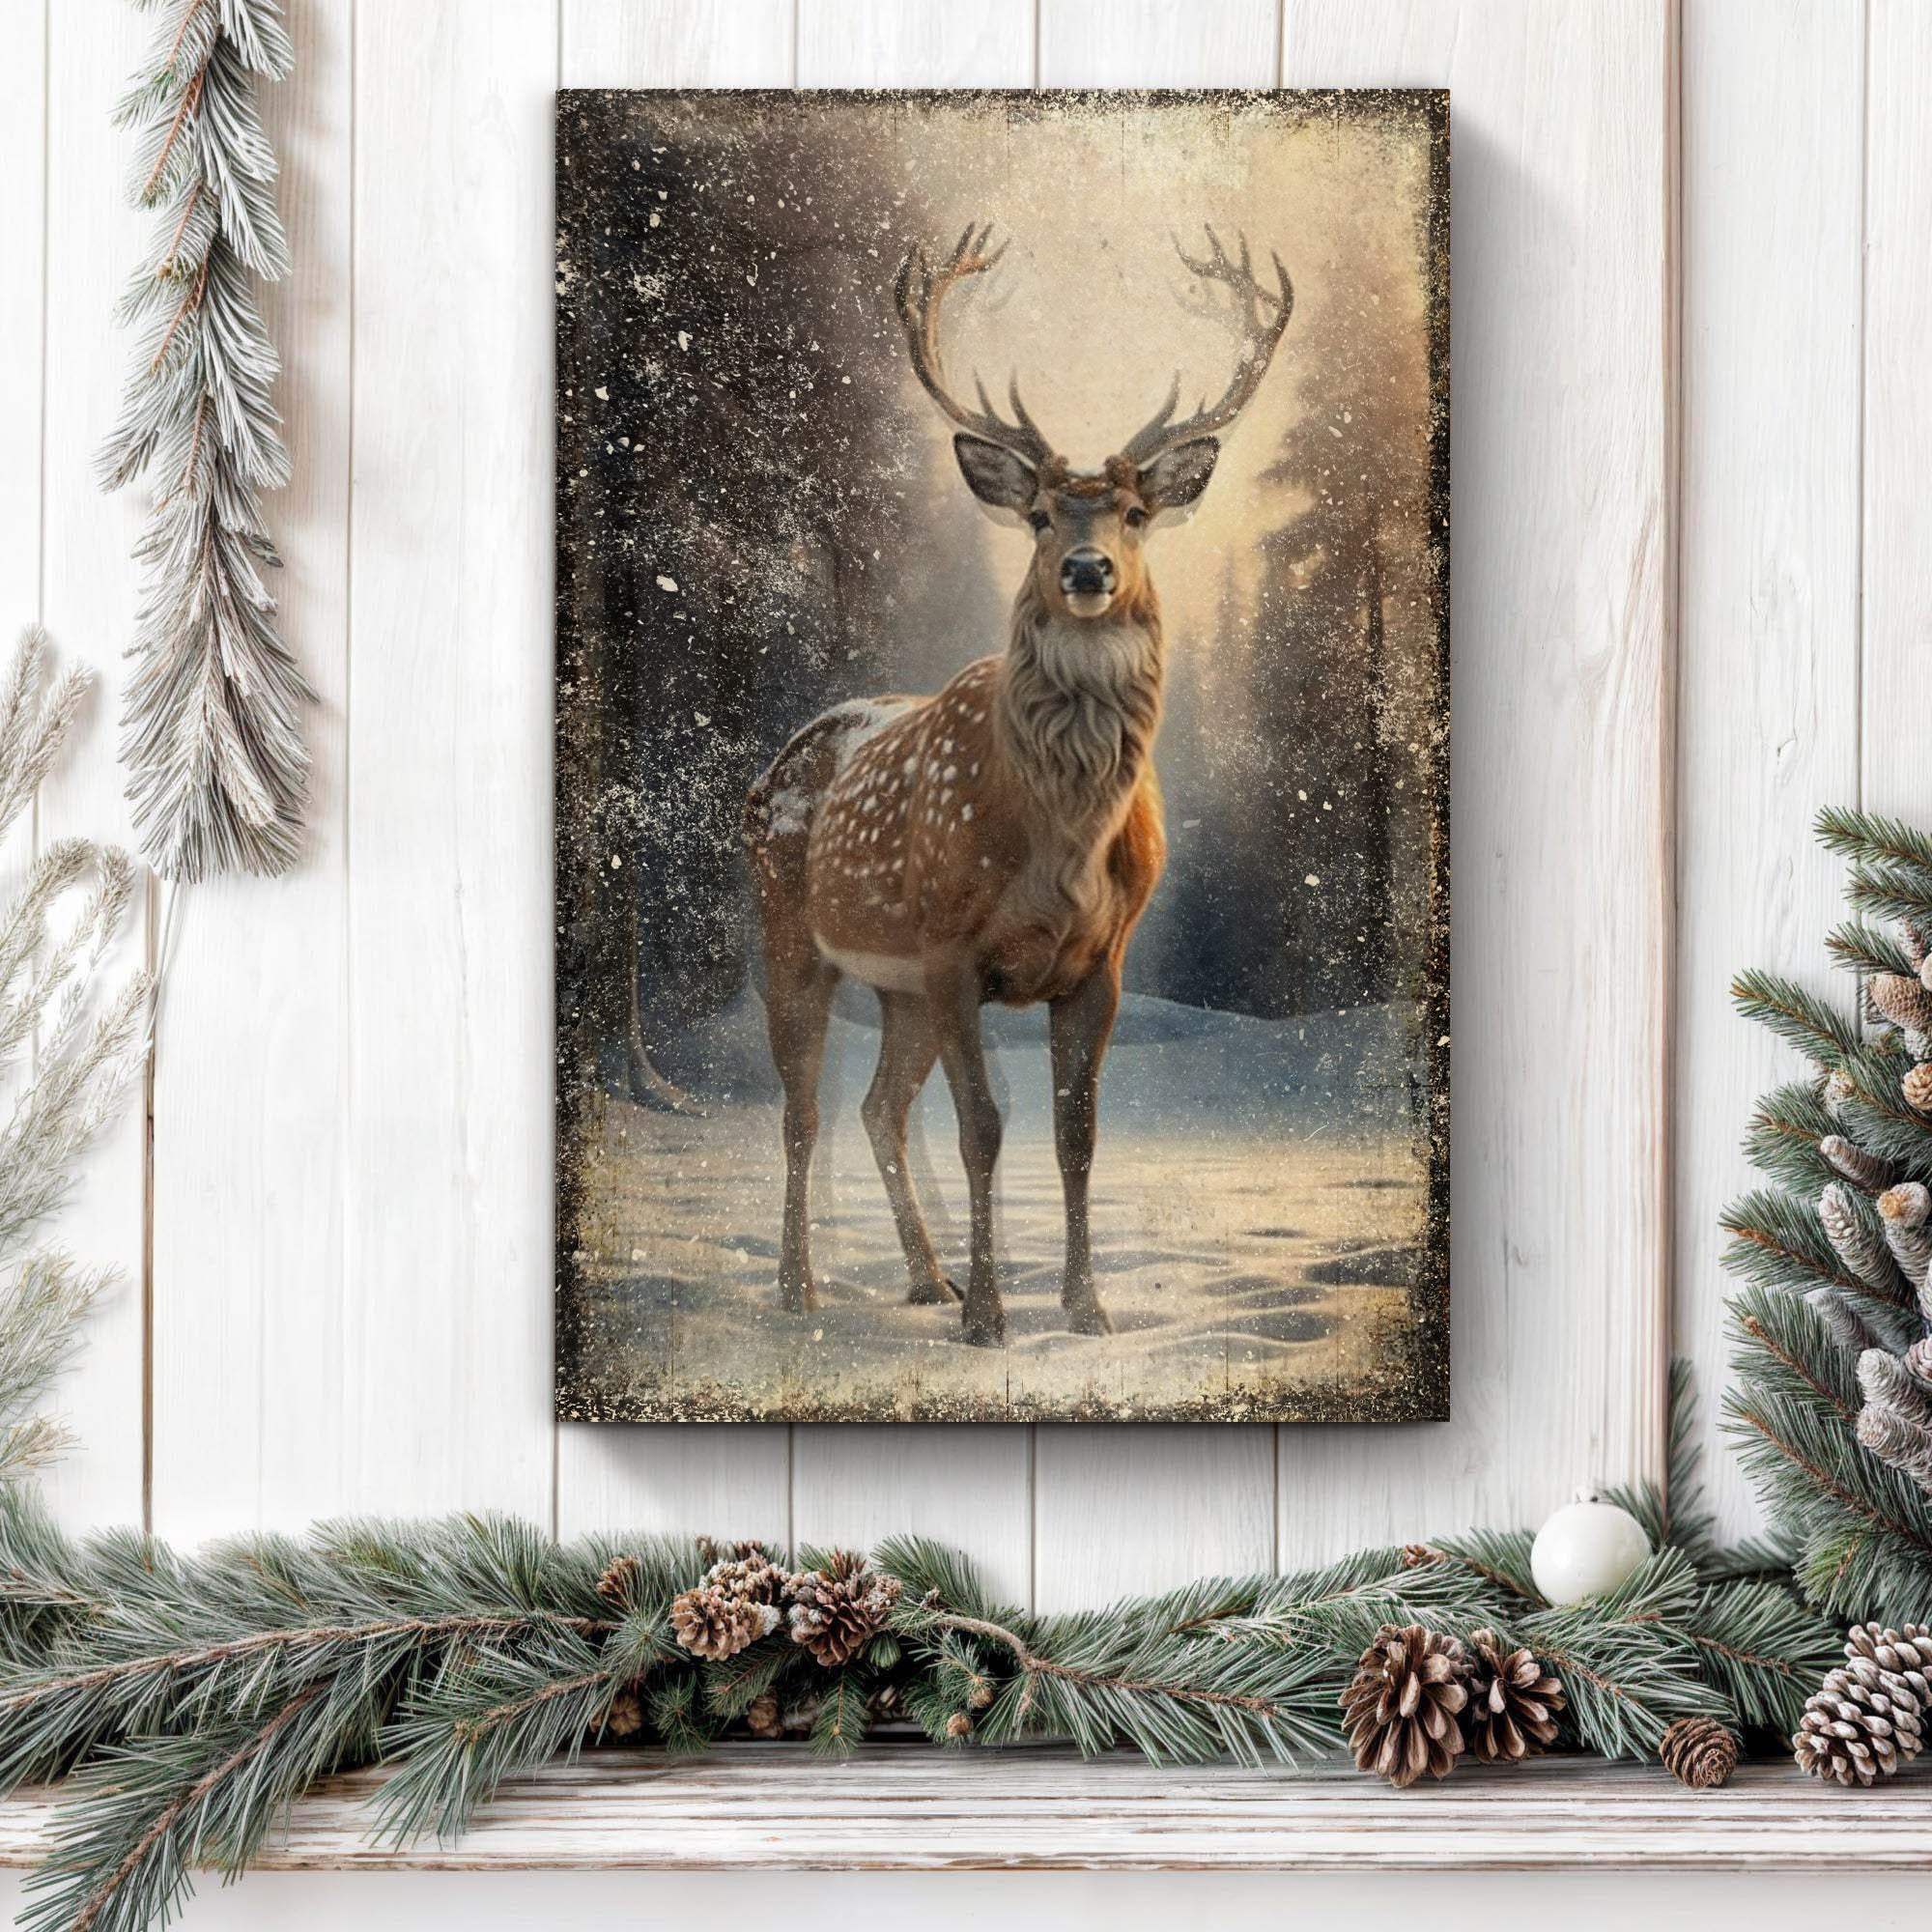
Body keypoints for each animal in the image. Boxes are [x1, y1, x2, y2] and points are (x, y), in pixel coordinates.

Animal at [742, 224, 1293, 1348]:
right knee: (804, 1109)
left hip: (897, 984)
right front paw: (994, 1317)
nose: (1086, 569)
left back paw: (924, 1278)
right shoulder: (957, 951)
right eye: (1038, 514)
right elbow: (985, 1129)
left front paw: (1086, 1307)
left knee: (877, 1106)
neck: (1060, 842)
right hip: (792, 933)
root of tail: (771, 768)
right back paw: (800, 1286)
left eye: (1135, 511)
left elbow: (1076, 1132)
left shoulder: (1100, 962)